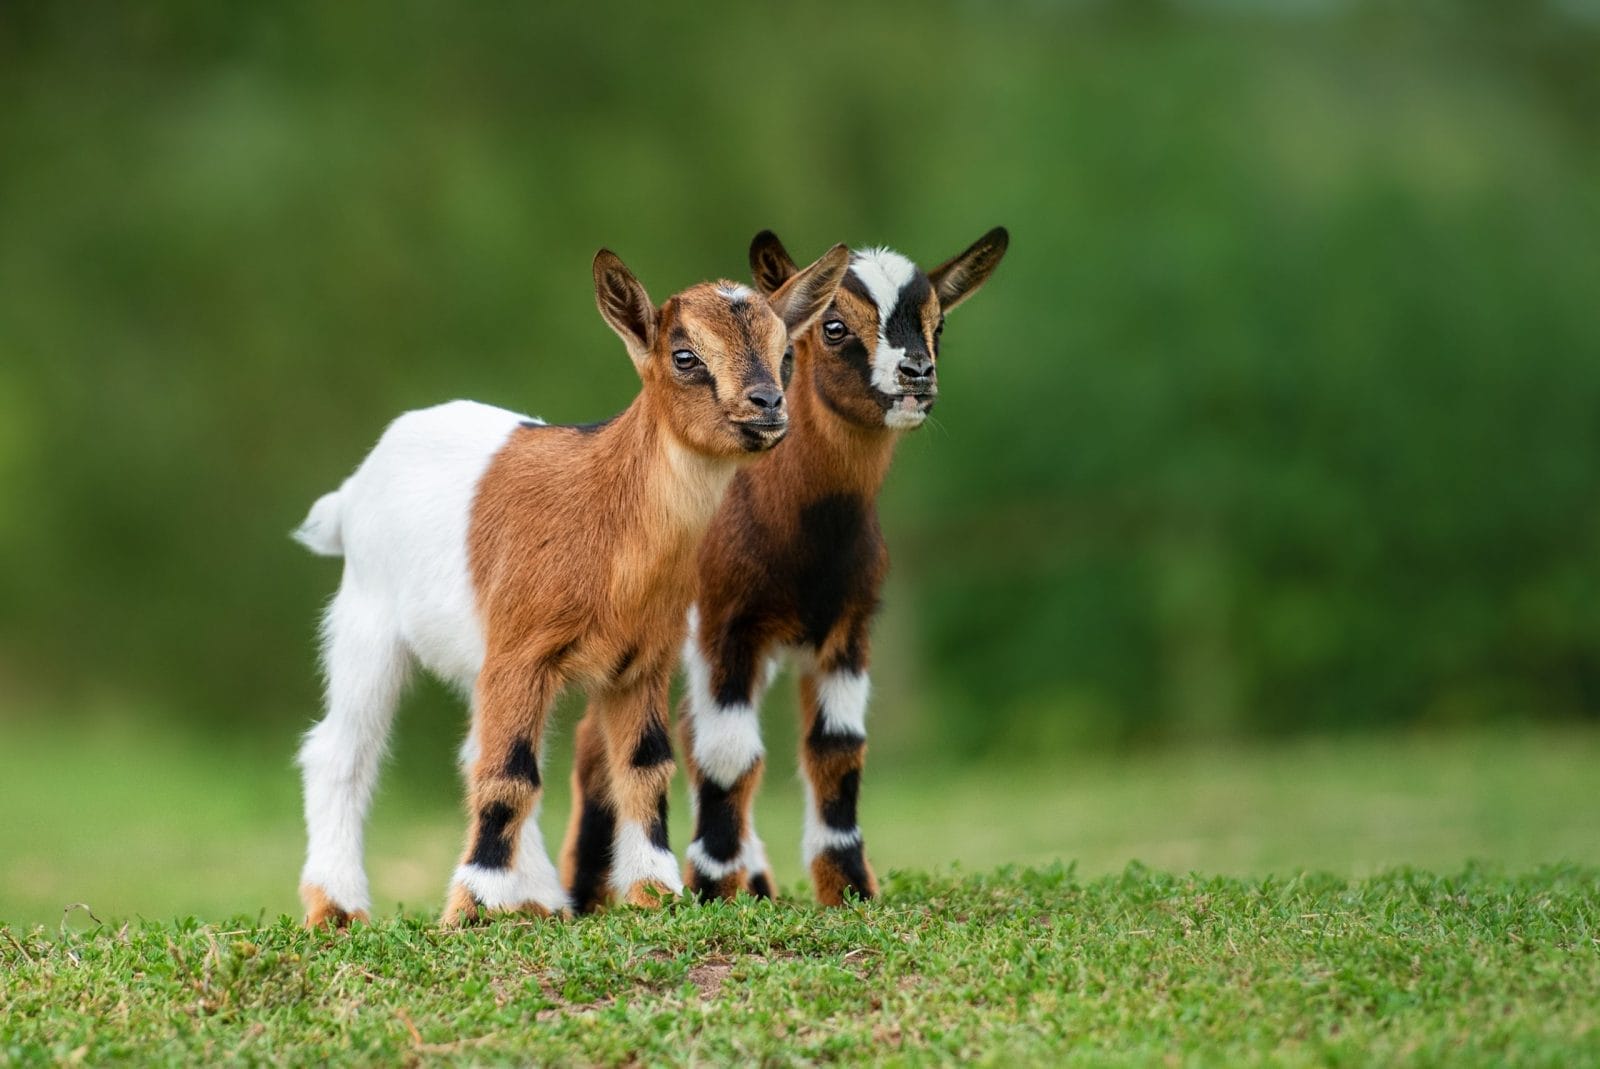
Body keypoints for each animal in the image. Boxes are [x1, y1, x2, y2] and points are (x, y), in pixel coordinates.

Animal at [293, 244, 849, 927]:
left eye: (787, 355)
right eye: (684, 356)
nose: (768, 404)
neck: (609, 519)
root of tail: (353, 491)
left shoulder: (642, 662)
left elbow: (644, 767)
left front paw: (654, 890)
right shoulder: (521, 652)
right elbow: (510, 774)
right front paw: (470, 908)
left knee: (474, 750)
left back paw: (535, 898)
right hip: (368, 621)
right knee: (343, 751)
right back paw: (338, 907)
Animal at [562, 229, 1007, 910]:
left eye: (939, 324)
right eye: (834, 325)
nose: (916, 374)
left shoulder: (848, 628)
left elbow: (837, 748)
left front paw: (848, 889)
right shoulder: (725, 625)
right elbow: (728, 751)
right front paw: (713, 889)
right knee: (602, 743)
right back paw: (587, 896)